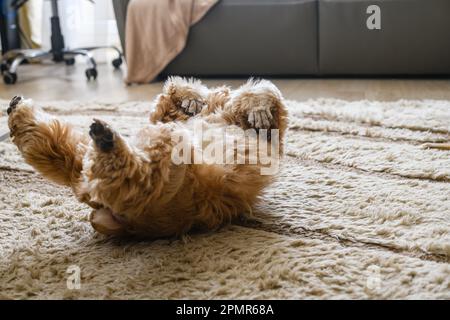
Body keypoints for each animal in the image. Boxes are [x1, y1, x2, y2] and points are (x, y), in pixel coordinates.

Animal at [6, 77, 288, 238]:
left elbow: (265, 92)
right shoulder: (166, 116)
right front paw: (193, 97)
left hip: (118, 161)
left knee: (60, 152)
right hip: (163, 145)